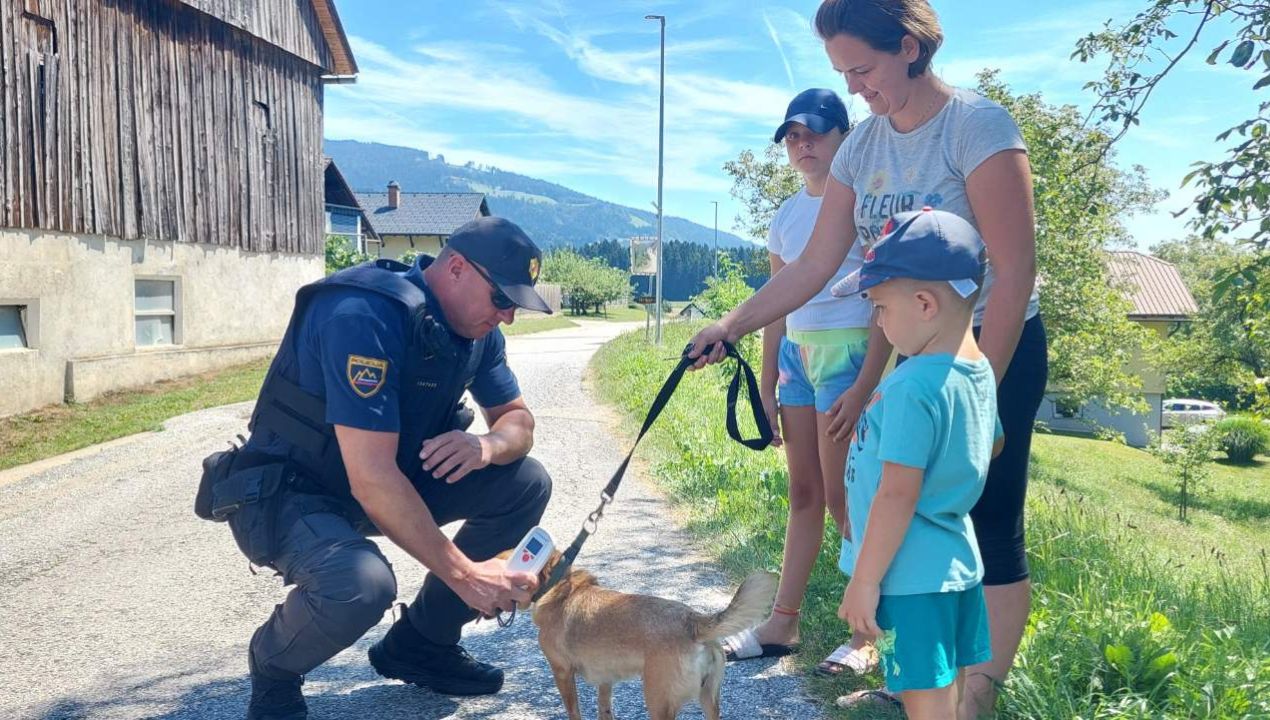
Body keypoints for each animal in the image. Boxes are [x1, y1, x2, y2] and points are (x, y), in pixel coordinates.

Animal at [525, 556, 772, 720]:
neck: (564, 586)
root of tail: (694, 621)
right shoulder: (606, 678)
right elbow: (604, 708)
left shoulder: (562, 672)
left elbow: (573, 710)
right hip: (708, 700)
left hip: (657, 702)